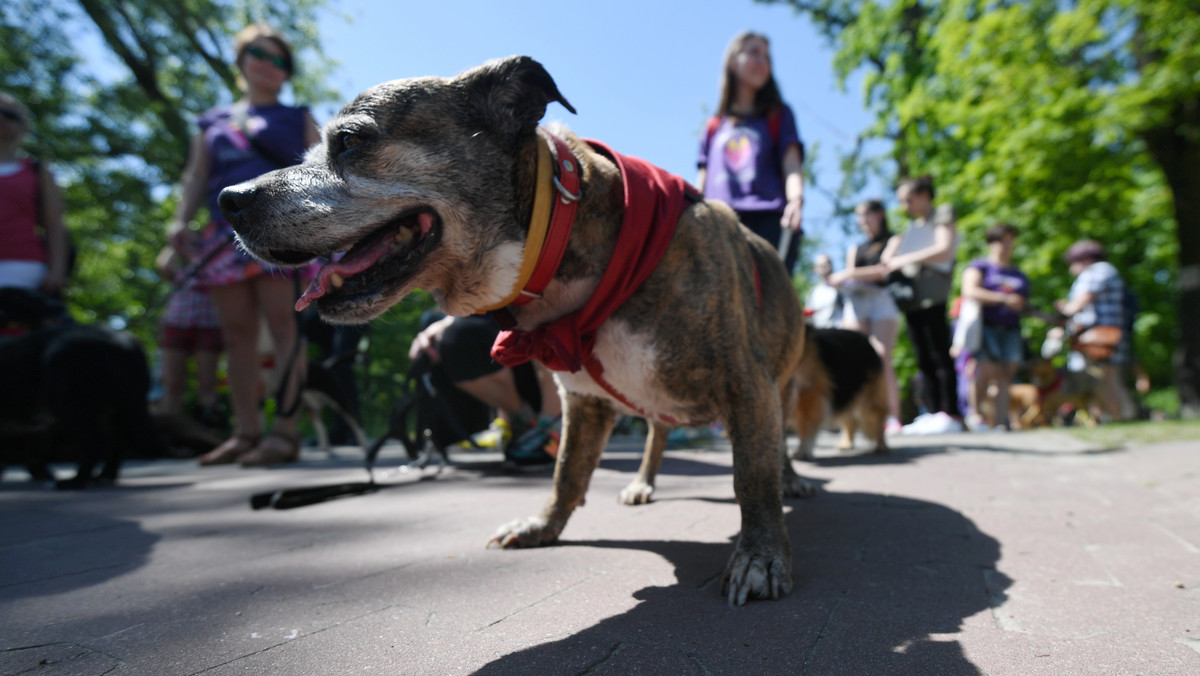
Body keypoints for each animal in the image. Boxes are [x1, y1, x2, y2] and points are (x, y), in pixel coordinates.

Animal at [0, 288, 158, 489]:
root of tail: (127, 341)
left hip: (67, 402)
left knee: (94, 442)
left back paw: (76, 480)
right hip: (117, 407)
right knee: (117, 441)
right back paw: (103, 476)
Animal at [217, 58, 816, 605]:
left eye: (348, 141)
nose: (228, 199)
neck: (562, 238)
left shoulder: (746, 385)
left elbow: (751, 474)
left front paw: (760, 554)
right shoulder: (583, 403)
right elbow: (567, 472)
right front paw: (543, 526)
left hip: (781, 380)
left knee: (772, 440)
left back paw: (791, 478)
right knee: (657, 433)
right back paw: (643, 481)